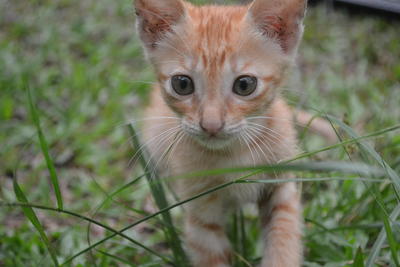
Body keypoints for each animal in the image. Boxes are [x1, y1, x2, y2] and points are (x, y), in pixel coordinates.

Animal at [134, 0, 306, 266]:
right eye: (182, 84)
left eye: (244, 85)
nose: (211, 125)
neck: (234, 153)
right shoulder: (201, 215)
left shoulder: (282, 185)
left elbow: (284, 236)